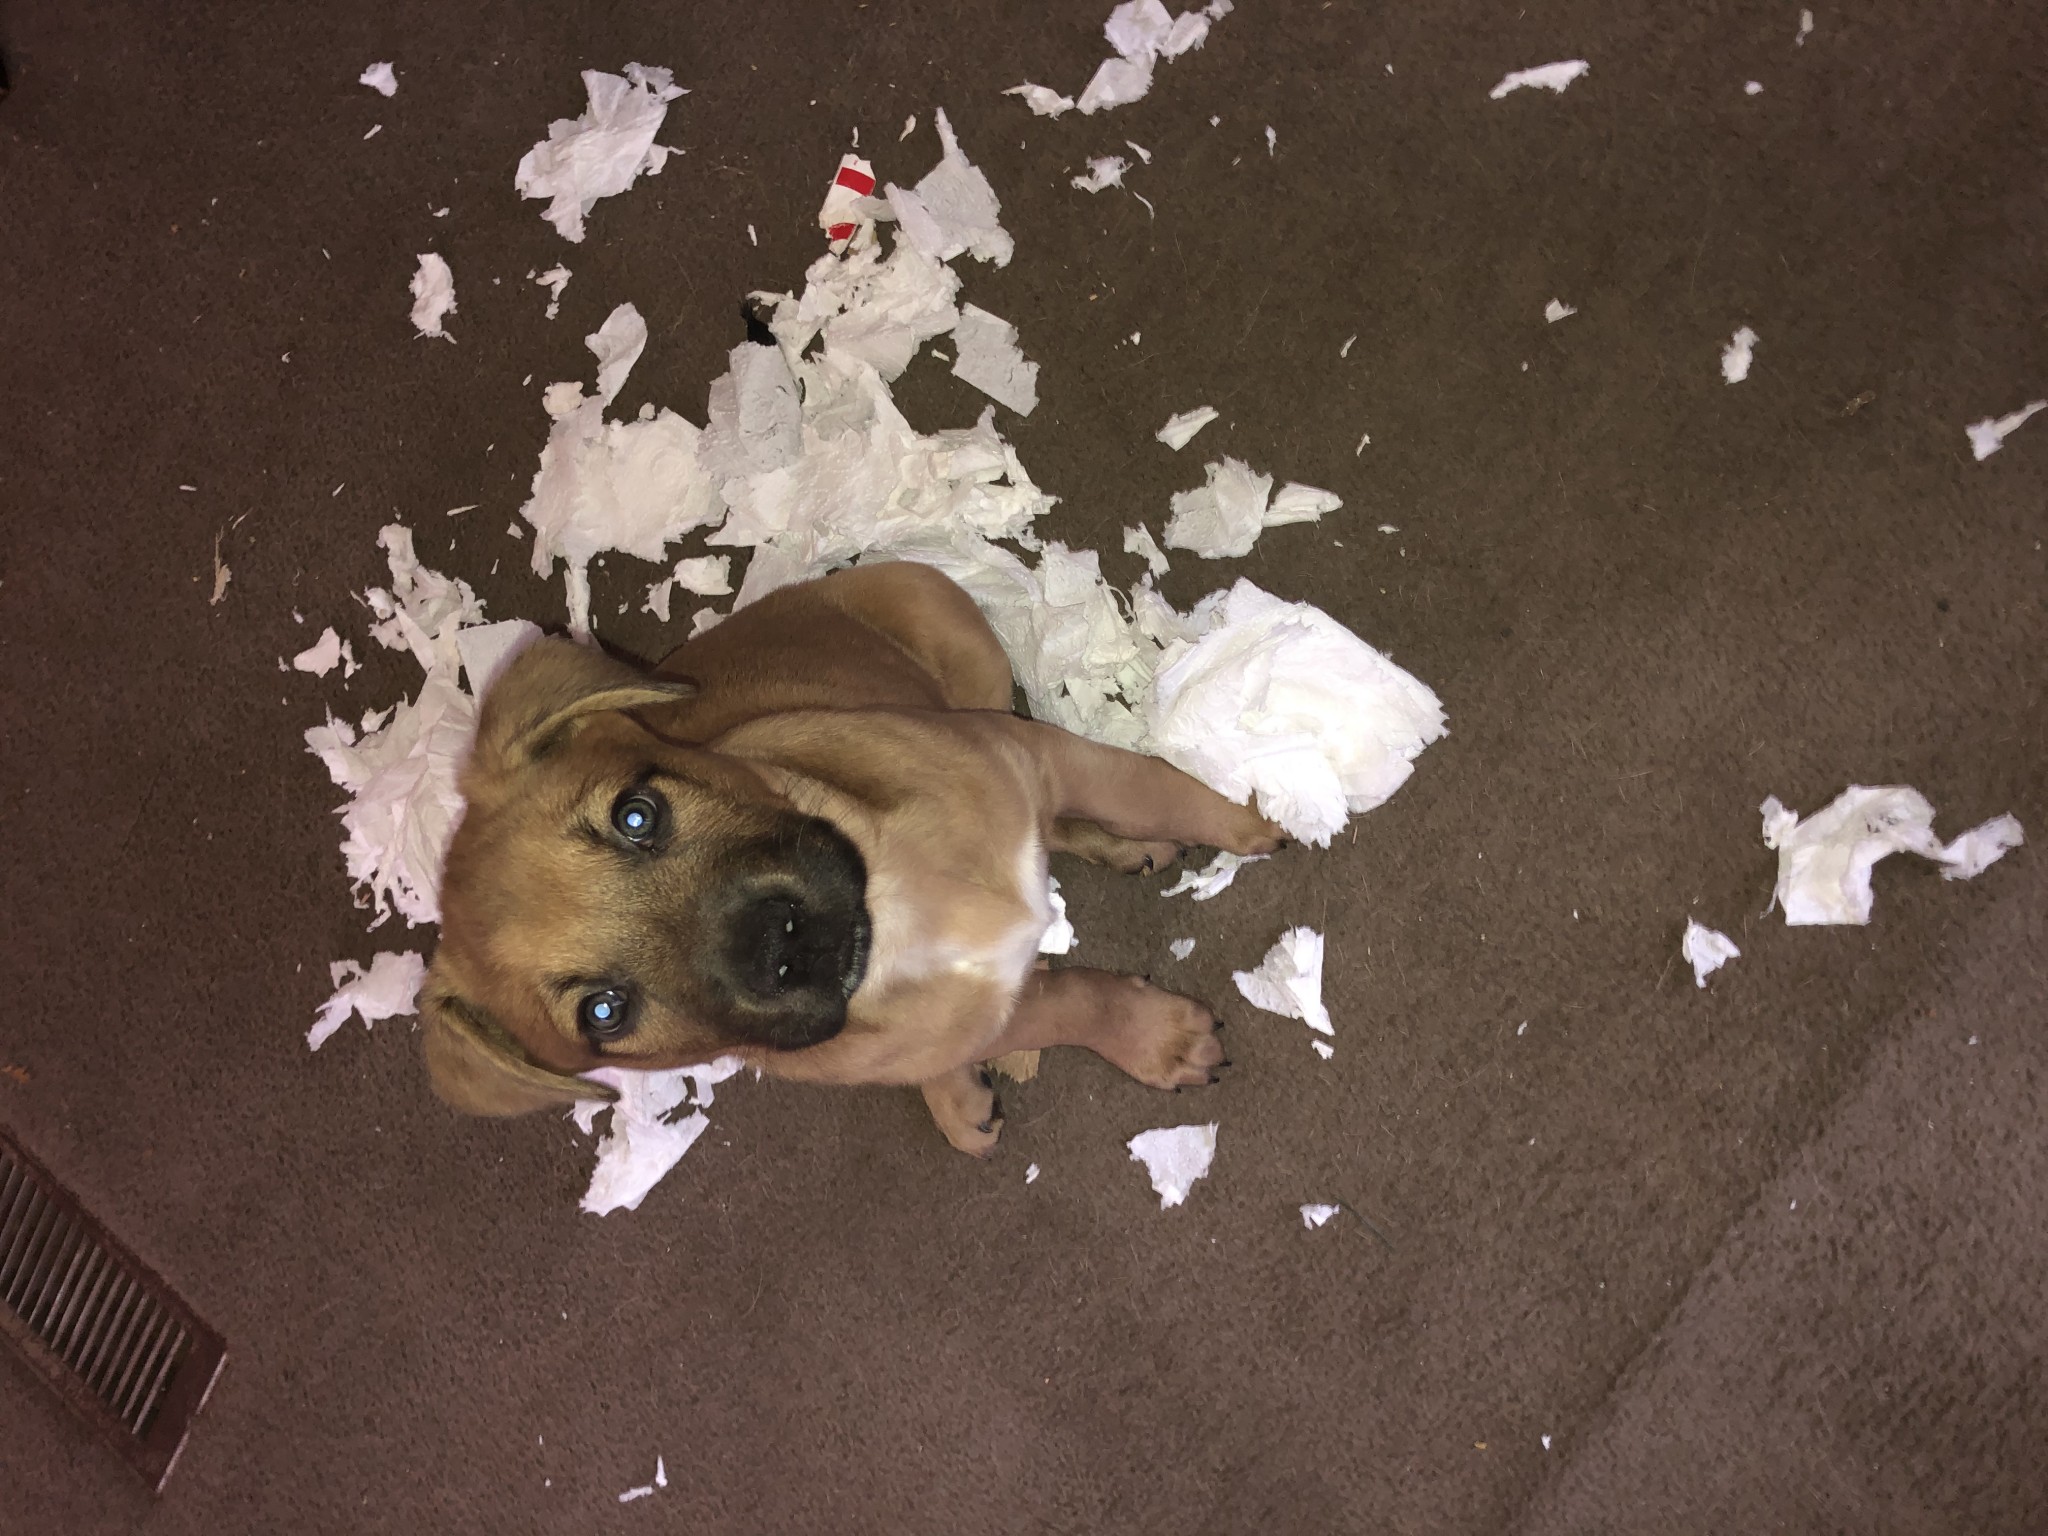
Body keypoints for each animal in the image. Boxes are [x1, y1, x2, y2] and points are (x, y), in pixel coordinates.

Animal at [420, 561, 1283, 1155]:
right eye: (605, 1012)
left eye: (637, 815)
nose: (784, 941)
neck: (902, 917)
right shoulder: (957, 1019)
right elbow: (1069, 1002)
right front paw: (1156, 1038)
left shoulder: (1039, 757)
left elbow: (1154, 786)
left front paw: (1256, 810)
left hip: (956, 641)